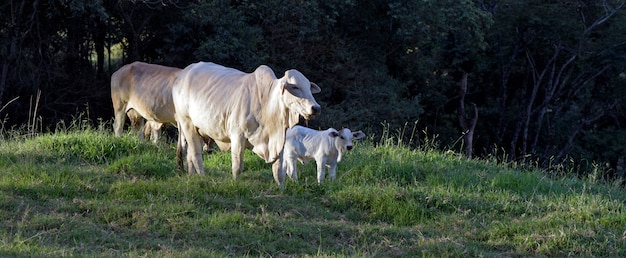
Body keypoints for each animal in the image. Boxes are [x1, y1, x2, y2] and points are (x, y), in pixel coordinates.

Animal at [172, 61, 322, 188]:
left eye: (309, 87)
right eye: (295, 87)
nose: (316, 108)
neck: (267, 105)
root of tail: (182, 74)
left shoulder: (278, 141)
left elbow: (278, 171)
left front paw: (281, 190)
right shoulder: (238, 136)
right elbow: (237, 166)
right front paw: (236, 184)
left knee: (190, 155)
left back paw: (191, 176)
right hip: (187, 123)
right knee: (196, 154)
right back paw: (202, 177)